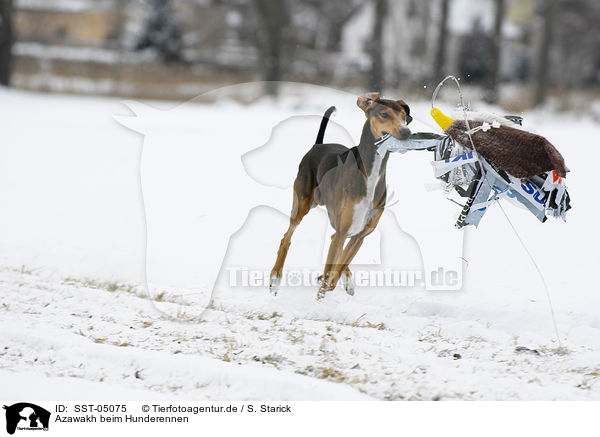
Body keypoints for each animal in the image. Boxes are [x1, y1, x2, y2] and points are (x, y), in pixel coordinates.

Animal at [268, 91, 412, 296]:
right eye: (384, 114)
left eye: (404, 116)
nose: (406, 132)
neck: (371, 171)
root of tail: (317, 145)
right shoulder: (344, 230)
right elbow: (330, 275)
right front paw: (321, 296)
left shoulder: (360, 235)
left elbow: (337, 268)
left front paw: (333, 283)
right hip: (302, 205)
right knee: (286, 238)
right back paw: (275, 279)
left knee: (333, 243)